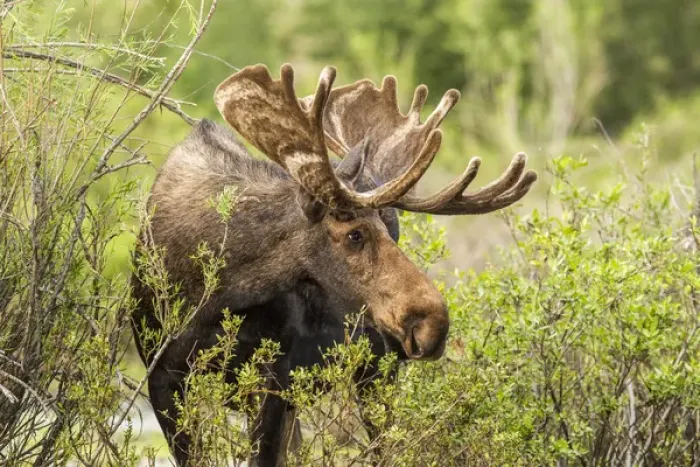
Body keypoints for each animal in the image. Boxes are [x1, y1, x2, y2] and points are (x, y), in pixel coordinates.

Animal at [130, 63, 537, 467]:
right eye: (354, 234)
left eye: (389, 228)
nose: (432, 324)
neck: (217, 290)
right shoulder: (162, 376)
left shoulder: (274, 377)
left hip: (376, 372)